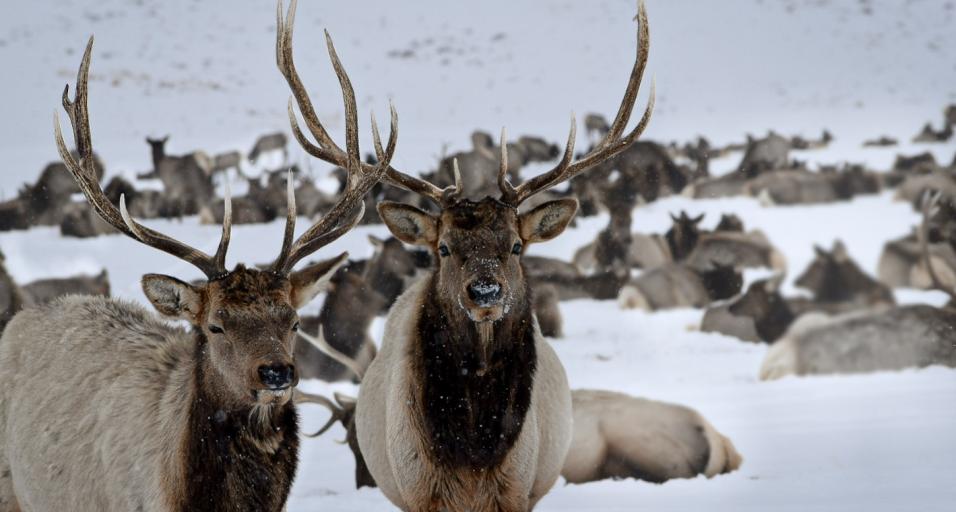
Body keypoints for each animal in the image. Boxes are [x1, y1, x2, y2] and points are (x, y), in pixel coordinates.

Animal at [270, 0, 653, 507]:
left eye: (516, 245)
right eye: (444, 248)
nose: (485, 291)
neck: (473, 448)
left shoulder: (518, 487)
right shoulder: (418, 487)